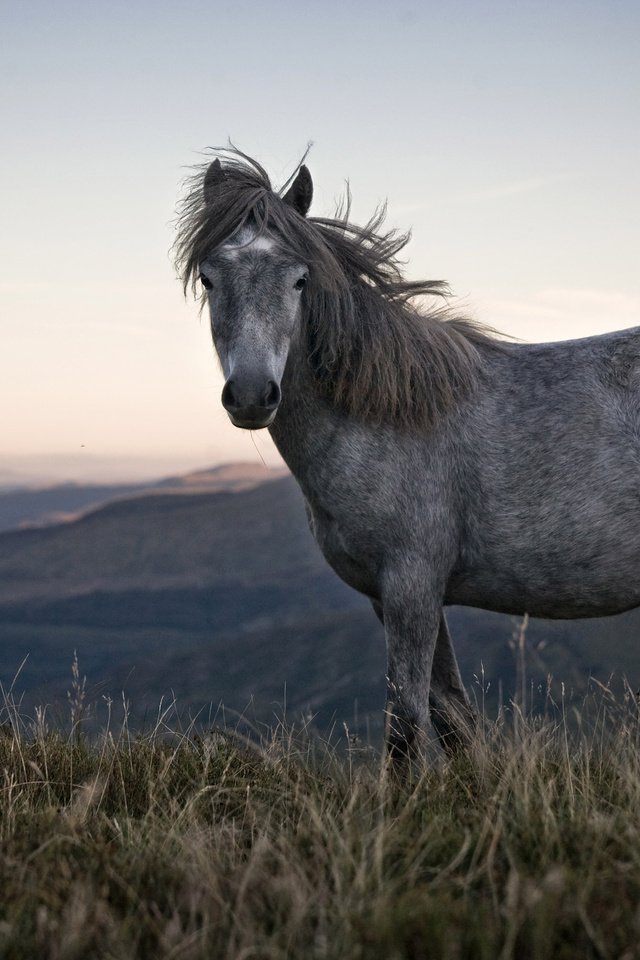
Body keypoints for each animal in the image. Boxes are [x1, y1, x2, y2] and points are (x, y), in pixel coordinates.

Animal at [174, 148, 640, 764]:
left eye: (300, 279)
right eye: (209, 277)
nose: (252, 395)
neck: (388, 414)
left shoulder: (411, 587)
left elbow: (405, 727)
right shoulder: (395, 596)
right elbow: (453, 719)